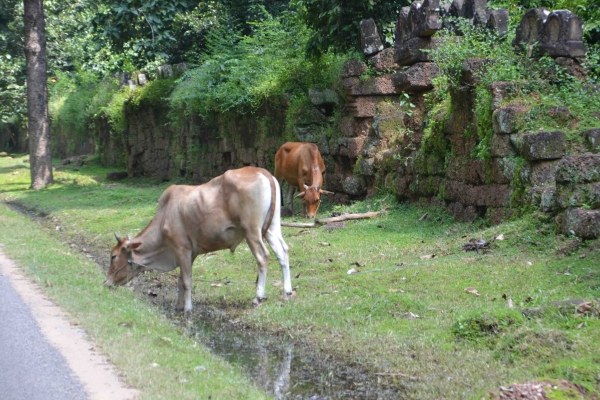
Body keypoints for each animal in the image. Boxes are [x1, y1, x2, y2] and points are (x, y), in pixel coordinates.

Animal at [105, 166, 292, 312]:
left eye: (113, 256)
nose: (106, 282)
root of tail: (261, 171)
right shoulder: (191, 252)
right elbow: (181, 279)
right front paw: (179, 306)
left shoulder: (182, 248)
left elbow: (186, 281)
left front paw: (188, 309)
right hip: (272, 228)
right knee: (282, 251)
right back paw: (287, 292)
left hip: (251, 230)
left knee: (263, 256)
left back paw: (258, 296)